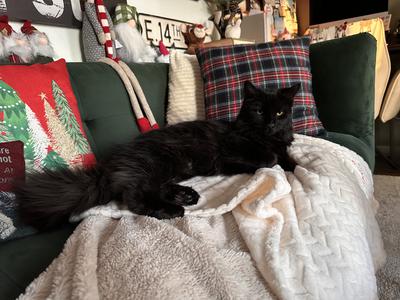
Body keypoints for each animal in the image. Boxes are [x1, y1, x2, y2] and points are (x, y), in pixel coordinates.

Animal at [14, 80, 298, 230]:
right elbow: (269, 159)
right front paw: (273, 160)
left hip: (167, 168)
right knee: (135, 198)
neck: (265, 137)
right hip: (156, 163)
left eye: (280, 113)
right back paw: (173, 209)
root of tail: (106, 166)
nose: (272, 123)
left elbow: (287, 159)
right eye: (259, 111)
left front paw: (294, 166)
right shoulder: (230, 154)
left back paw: (186, 195)